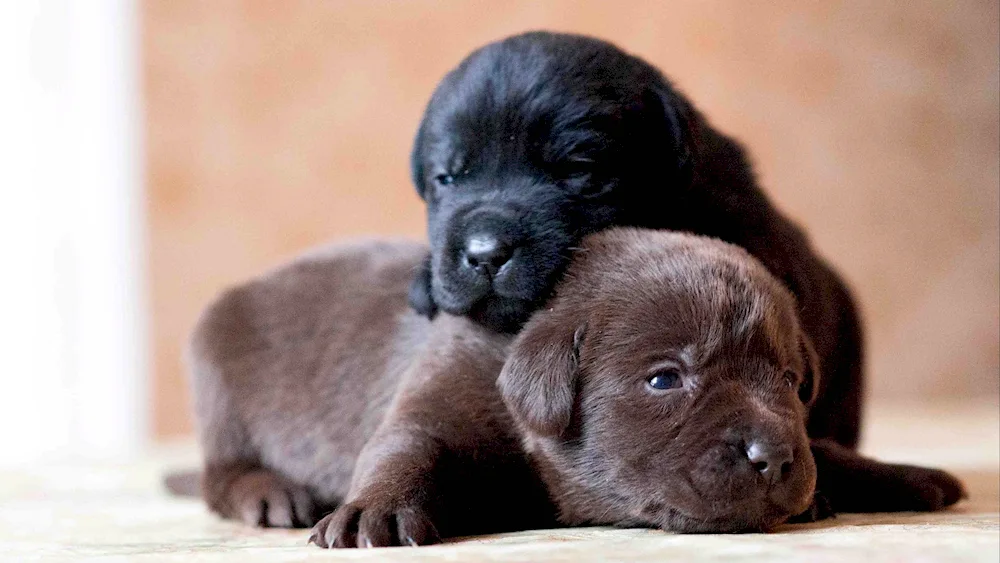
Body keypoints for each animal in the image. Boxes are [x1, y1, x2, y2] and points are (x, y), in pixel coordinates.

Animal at [188, 228, 960, 548]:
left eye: (796, 386)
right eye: (664, 379)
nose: (772, 456)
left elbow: (830, 448)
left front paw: (900, 473)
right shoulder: (443, 390)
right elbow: (404, 448)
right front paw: (371, 510)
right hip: (216, 372)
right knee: (219, 473)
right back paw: (272, 492)